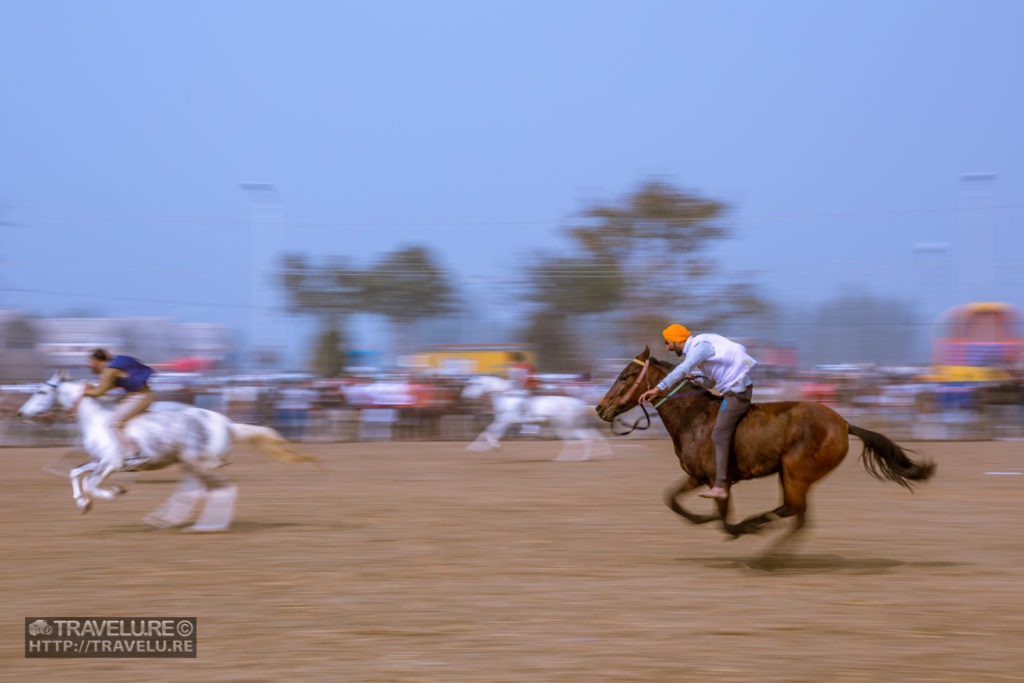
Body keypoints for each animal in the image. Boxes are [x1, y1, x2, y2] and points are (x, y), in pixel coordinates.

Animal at [17, 370, 311, 532]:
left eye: (41, 391)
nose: (21, 413)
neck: (97, 420)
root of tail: (228, 424)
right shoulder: (98, 461)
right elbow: (75, 472)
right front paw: (83, 503)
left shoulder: (111, 463)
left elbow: (91, 482)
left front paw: (113, 492)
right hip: (191, 465)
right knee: (192, 493)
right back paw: (164, 521)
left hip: (200, 464)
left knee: (222, 490)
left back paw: (206, 527)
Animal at [593, 350, 937, 548]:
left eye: (625, 375)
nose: (599, 408)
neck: (694, 418)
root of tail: (843, 424)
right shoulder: (696, 476)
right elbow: (672, 500)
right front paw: (702, 519)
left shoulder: (718, 480)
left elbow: (725, 520)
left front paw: (733, 527)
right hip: (789, 474)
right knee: (794, 513)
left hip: (796, 472)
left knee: (795, 513)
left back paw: (764, 549)